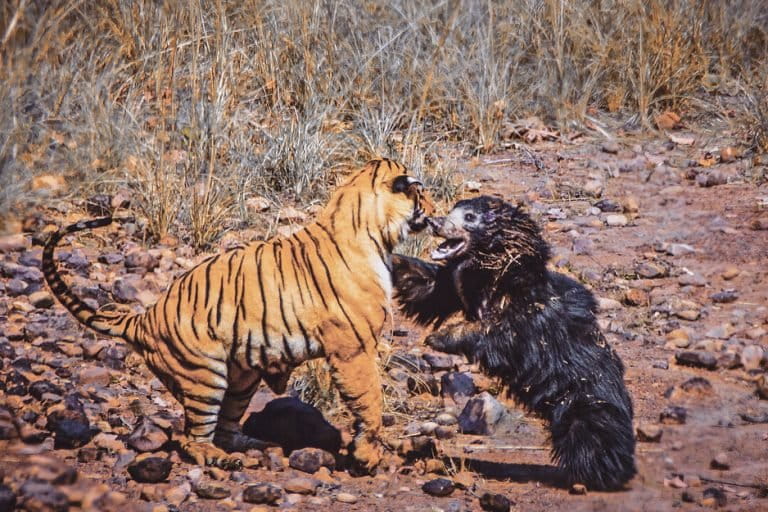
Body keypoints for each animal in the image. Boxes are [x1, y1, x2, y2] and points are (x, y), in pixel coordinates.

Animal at [45, 159, 436, 472]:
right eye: (422, 193)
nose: (437, 209)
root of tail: (143, 318)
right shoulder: (353, 349)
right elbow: (370, 400)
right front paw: (367, 455)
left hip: (242, 378)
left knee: (226, 429)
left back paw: (258, 446)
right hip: (204, 376)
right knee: (192, 438)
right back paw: (221, 459)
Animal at [392, 196, 632, 492]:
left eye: (469, 217)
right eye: (452, 211)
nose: (433, 222)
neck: (492, 273)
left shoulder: (528, 318)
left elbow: (499, 337)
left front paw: (439, 337)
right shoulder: (456, 284)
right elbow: (427, 288)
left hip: (586, 404)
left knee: (592, 440)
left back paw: (593, 475)